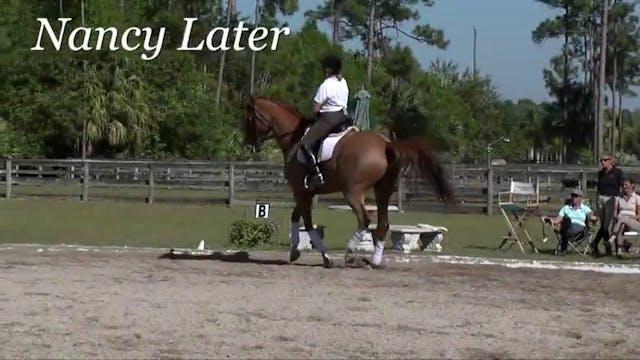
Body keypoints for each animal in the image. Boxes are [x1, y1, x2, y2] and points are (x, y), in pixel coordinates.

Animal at [241, 94, 456, 268]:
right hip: (383, 191)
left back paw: (350, 254)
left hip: (352, 192)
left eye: (250, 118)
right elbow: (298, 218)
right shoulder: (307, 192)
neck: (294, 139)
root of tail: (386, 144)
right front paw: (298, 251)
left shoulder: (300, 191)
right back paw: (375, 261)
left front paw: (322, 256)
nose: (250, 144)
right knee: (383, 224)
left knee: (365, 220)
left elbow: (306, 223)